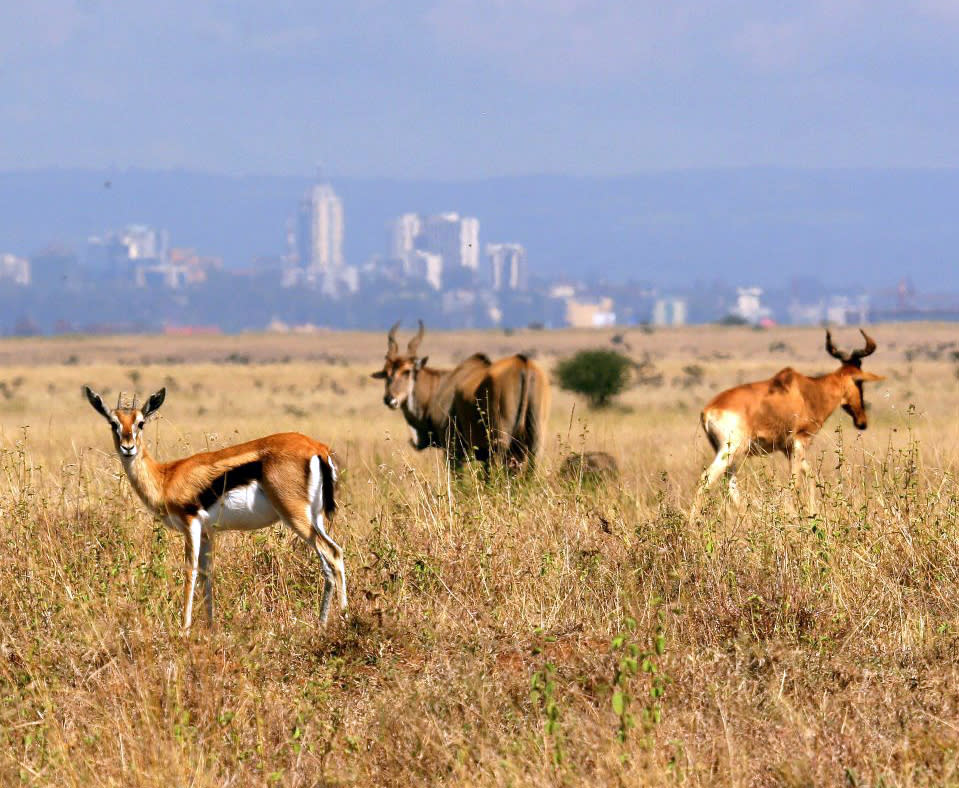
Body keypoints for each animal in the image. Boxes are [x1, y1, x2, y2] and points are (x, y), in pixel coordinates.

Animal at [82, 384, 344, 632]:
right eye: (113, 423)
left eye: (141, 422)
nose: (128, 447)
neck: (166, 477)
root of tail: (317, 448)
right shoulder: (209, 532)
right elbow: (207, 575)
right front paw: (210, 628)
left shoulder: (191, 525)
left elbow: (190, 572)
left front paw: (184, 629)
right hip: (315, 518)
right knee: (338, 553)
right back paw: (335, 619)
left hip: (296, 516)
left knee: (330, 555)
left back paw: (334, 621)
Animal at [372, 318, 552, 468]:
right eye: (386, 373)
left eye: (407, 371)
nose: (390, 399)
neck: (438, 386)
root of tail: (523, 364)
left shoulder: (453, 451)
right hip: (534, 444)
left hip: (500, 444)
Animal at [688, 328, 884, 508]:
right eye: (859, 382)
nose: (862, 422)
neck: (808, 390)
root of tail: (708, 410)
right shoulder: (800, 441)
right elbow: (795, 482)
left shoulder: (787, 448)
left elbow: (811, 477)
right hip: (730, 449)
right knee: (707, 478)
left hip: (734, 452)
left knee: (730, 483)